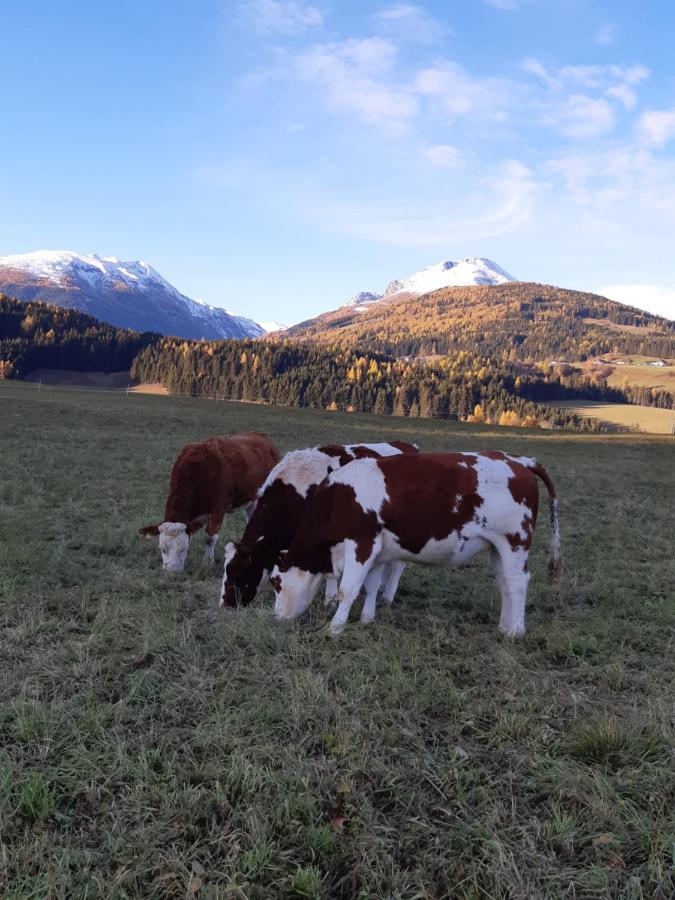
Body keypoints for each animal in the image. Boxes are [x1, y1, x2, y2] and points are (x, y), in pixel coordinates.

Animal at [141, 432, 278, 572]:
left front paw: (208, 562)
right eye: (162, 549)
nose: (172, 572)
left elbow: (209, 537)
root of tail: (259, 435)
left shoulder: (218, 509)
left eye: (183, 549)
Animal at [220, 440, 418, 608]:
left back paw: (388, 596)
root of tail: (408, 446)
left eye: (239, 572)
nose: (225, 604)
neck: (298, 490)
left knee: (398, 565)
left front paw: (329, 600)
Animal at [270, 450, 560, 640]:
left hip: (514, 542)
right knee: (505, 583)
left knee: (517, 583)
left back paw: (515, 631)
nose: (276, 618)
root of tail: (518, 461)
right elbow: (371, 585)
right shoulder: (377, 550)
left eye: (276, 583)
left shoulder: (361, 543)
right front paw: (366, 619)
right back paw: (504, 626)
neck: (337, 499)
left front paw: (335, 627)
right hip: (498, 548)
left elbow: (348, 589)